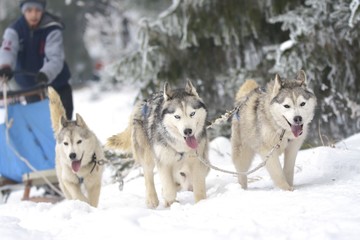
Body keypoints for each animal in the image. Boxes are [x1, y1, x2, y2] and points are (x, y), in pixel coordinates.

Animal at [106, 80, 208, 208]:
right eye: (177, 116)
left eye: (192, 113)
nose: (188, 131)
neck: (181, 147)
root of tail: (142, 103)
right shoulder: (164, 162)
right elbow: (169, 190)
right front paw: (170, 201)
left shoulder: (198, 161)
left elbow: (198, 187)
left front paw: (201, 203)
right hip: (148, 157)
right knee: (148, 176)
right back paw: (152, 200)